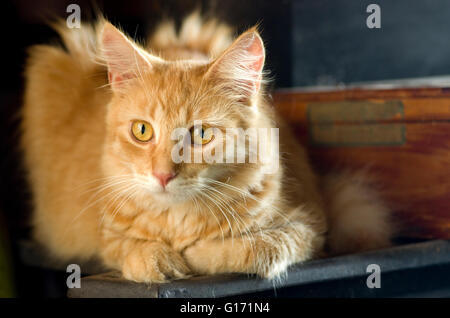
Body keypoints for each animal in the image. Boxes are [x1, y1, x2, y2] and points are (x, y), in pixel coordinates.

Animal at [21, 12, 392, 282]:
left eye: (200, 135)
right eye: (142, 131)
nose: (162, 176)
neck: (178, 221)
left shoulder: (307, 226)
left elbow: (254, 249)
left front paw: (195, 254)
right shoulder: (107, 235)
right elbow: (131, 250)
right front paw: (160, 259)